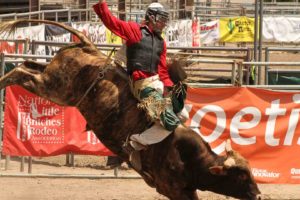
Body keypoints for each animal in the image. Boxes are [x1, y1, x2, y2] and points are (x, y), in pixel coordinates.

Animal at [0, 19, 260, 200]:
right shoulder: (173, 188)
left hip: (52, 79)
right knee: (21, 72)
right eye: (241, 175)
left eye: (250, 170)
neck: (192, 159)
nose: (257, 194)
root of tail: (88, 46)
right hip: (57, 89)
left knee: (27, 65)